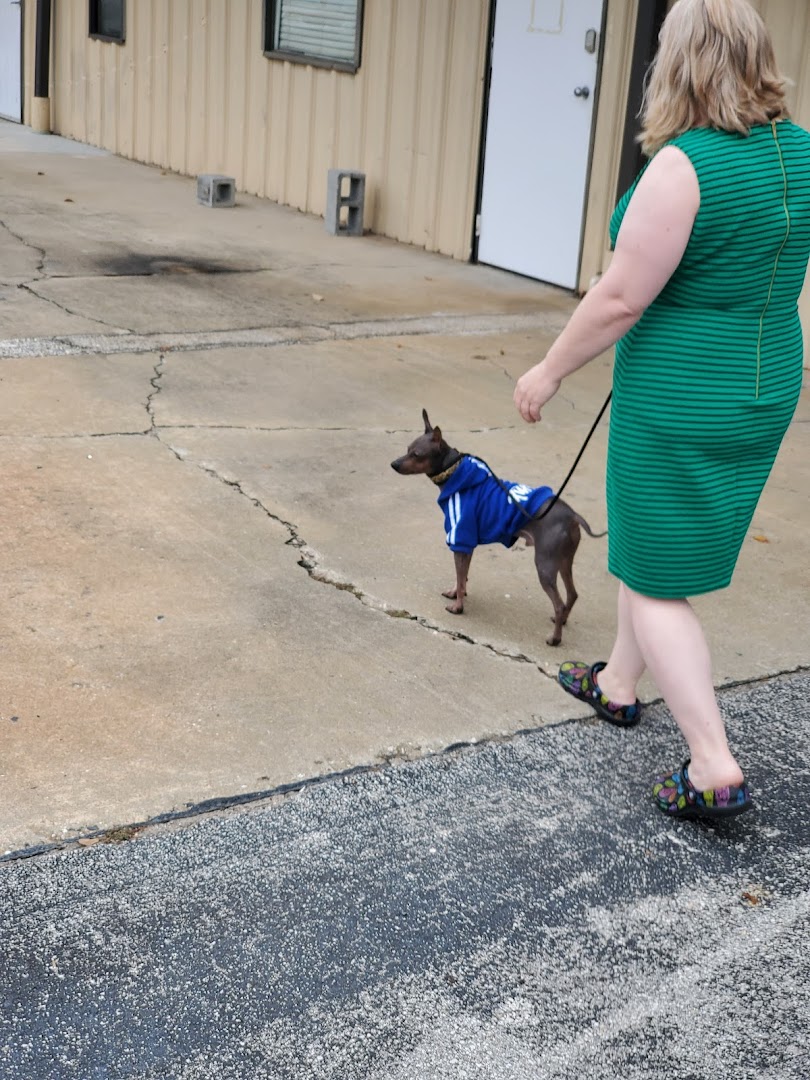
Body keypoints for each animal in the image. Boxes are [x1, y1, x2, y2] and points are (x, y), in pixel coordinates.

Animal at [393, 408, 604, 643]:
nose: (394, 464)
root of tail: (572, 515)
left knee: (558, 603)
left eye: (416, 454)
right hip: (564, 561)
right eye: (407, 449)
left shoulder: (460, 538)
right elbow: (462, 576)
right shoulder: (467, 545)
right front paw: (456, 593)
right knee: (572, 594)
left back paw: (555, 639)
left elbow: (460, 575)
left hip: (545, 564)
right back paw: (564, 621)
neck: (454, 472)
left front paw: (458, 607)